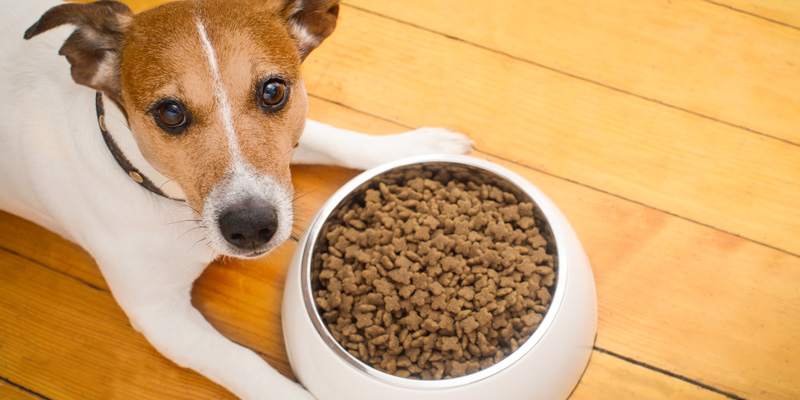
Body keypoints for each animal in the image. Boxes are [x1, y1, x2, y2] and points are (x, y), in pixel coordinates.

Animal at [0, 0, 472, 396]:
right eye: (170, 113)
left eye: (273, 91)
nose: (251, 227)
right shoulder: (159, 314)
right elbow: (246, 364)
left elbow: (329, 137)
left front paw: (414, 146)